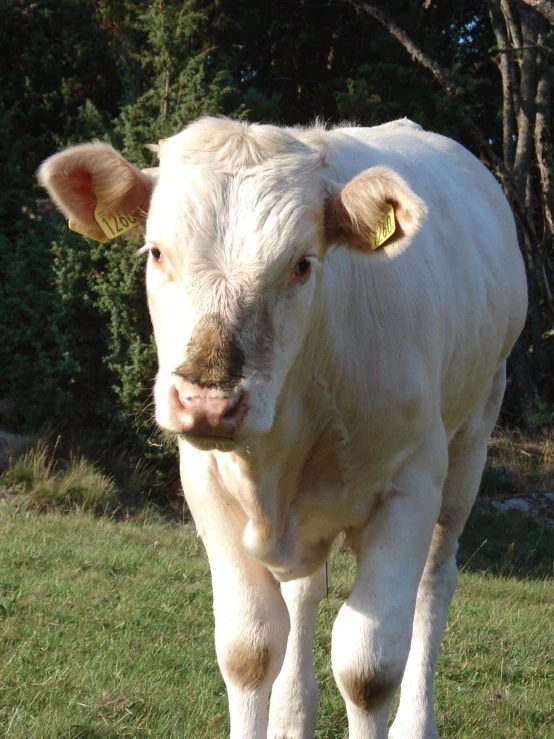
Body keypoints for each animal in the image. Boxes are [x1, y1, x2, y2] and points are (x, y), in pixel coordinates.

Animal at [40, 118, 528, 736]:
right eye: (156, 251)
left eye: (302, 263)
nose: (208, 402)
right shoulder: (207, 483)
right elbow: (249, 649)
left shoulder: (412, 480)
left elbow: (369, 668)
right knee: (304, 593)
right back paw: (293, 715)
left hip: (471, 439)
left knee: (434, 581)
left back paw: (415, 720)